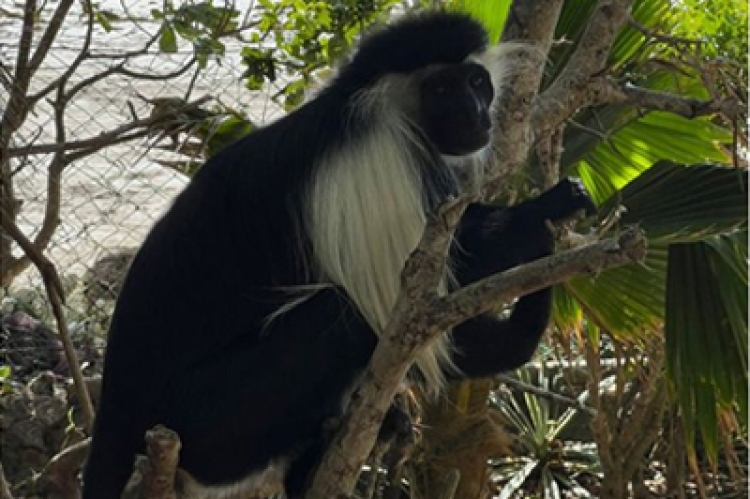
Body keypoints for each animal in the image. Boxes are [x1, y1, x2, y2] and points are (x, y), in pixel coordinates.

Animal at [82, 9, 596, 498]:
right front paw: (548, 207)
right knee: (338, 313)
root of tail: (116, 406)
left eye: (475, 83)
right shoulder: (378, 158)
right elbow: (424, 296)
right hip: (205, 415)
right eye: (441, 88)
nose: (475, 114)